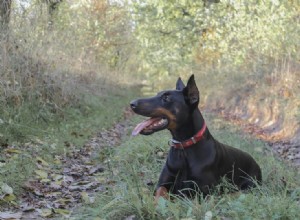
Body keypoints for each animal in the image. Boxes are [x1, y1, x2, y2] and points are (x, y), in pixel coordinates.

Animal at [130, 75, 262, 201]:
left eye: (166, 98)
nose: (132, 104)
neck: (184, 147)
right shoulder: (163, 183)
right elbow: (160, 193)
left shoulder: (203, 191)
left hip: (250, 185)